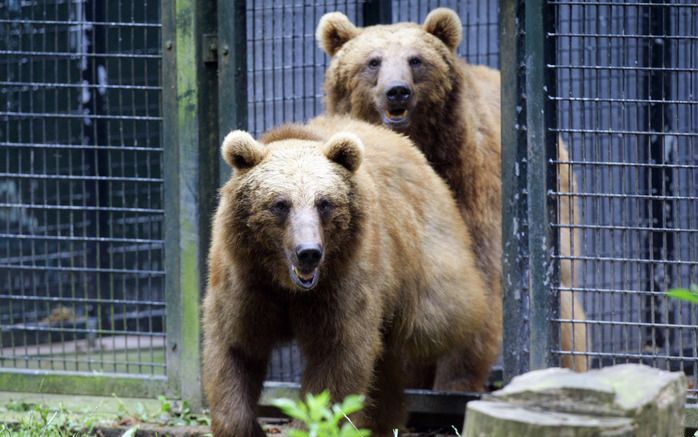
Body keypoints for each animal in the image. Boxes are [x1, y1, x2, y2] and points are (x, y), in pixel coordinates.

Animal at [201, 114, 500, 434]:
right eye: (280, 204)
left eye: (324, 202)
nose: (308, 251)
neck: (286, 286)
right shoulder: (246, 282)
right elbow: (234, 350)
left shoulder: (342, 284)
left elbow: (338, 360)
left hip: (423, 261)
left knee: (437, 320)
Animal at [316, 6, 588, 376]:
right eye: (373, 61)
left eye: (416, 59)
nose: (397, 91)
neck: (426, 147)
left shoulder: (475, 194)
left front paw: (455, 376)